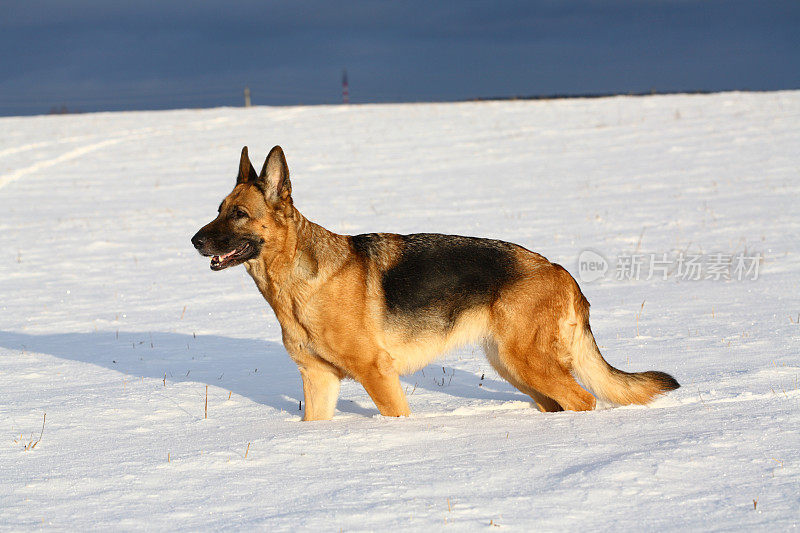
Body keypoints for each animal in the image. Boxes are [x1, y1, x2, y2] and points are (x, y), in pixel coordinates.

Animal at [191, 147, 680, 420]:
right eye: (217, 210)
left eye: (239, 215)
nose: (194, 240)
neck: (297, 279)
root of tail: (561, 270)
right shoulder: (319, 381)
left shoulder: (377, 374)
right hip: (513, 366)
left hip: (526, 363)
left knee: (583, 400)